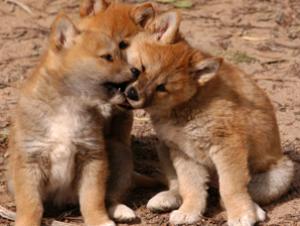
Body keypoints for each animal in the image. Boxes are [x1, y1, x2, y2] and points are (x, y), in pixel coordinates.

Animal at [7, 13, 137, 226]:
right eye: (108, 57)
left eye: (121, 55)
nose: (136, 71)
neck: (68, 105)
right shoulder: (29, 161)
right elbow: (31, 204)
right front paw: (26, 222)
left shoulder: (93, 157)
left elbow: (93, 198)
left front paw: (99, 220)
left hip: (120, 153)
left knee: (112, 197)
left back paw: (120, 210)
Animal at [123, 11, 294, 226]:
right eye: (139, 69)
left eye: (162, 87)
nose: (132, 94)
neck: (186, 104)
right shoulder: (183, 152)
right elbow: (191, 187)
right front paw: (189, 211)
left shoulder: (227, 146)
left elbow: (231, 187)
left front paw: (241, 214)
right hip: (162, 148)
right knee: (179, 185)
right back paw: (167, 198)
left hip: (280, 174)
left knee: (229, 194)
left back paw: (254, 209)